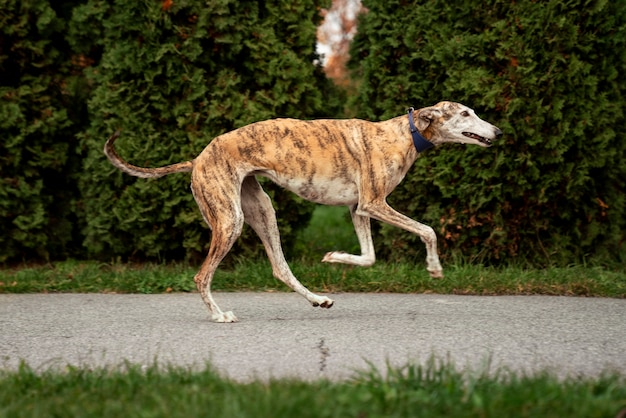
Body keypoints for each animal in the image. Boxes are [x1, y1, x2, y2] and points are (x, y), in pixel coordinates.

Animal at [103, 102, 502, 324]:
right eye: (465, 113)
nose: (498, 131)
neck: (404, 133)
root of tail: (197, 159)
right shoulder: (374, 203)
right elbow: (427, 230)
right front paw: (434, 268)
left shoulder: (359, 208)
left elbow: (369, 257)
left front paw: (335, 257)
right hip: (230, 220)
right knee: (202, 276)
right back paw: (219, 315)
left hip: (261, 211)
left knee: (280, 267)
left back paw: (317, 298)